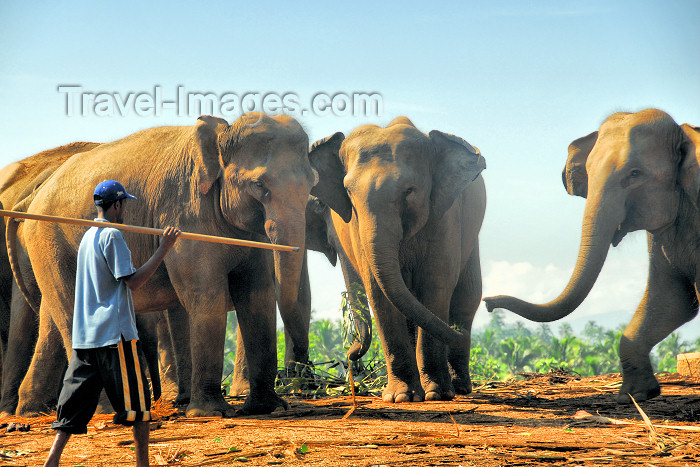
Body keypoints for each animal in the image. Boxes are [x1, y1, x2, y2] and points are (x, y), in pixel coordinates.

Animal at [8, 113, 336, 416]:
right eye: (258, 185)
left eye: (312, 184)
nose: (304, 382)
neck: (220, 135)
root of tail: (36, 196)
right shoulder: (186, 210)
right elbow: (207, 297)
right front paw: (210, 413)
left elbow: (257, 296)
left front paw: (266, 407)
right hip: (48, 242)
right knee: (72, 315)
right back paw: (104, 410)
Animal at [310, 117, 486, 402]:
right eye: (348, 191)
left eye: (410, 190)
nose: (349, 357)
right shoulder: (357, 229)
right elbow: (378, 291)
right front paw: (401, 397)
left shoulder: (445, 215)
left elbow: (436, 284)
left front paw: (437, 394)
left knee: (466, 297)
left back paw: (458, 386)